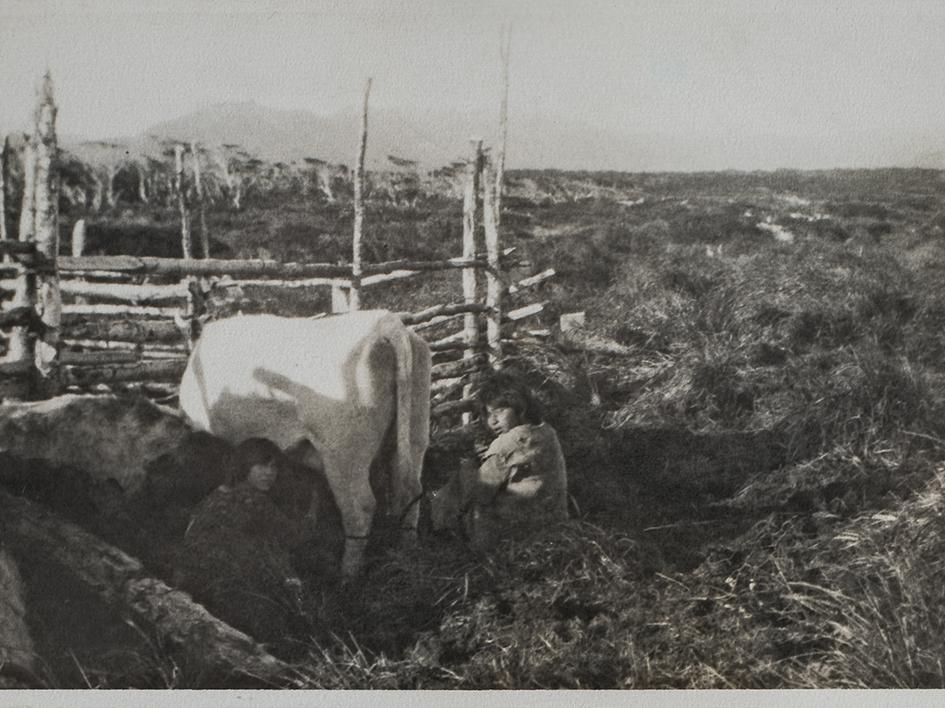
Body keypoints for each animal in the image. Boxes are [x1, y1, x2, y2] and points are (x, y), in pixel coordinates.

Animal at [179, 312, 434, 580]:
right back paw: (408, 555)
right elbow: (315, 487)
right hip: (415, 431)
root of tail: (385, 323)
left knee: (360, 507)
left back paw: (347, 577)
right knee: (410, 490)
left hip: (343, 453)